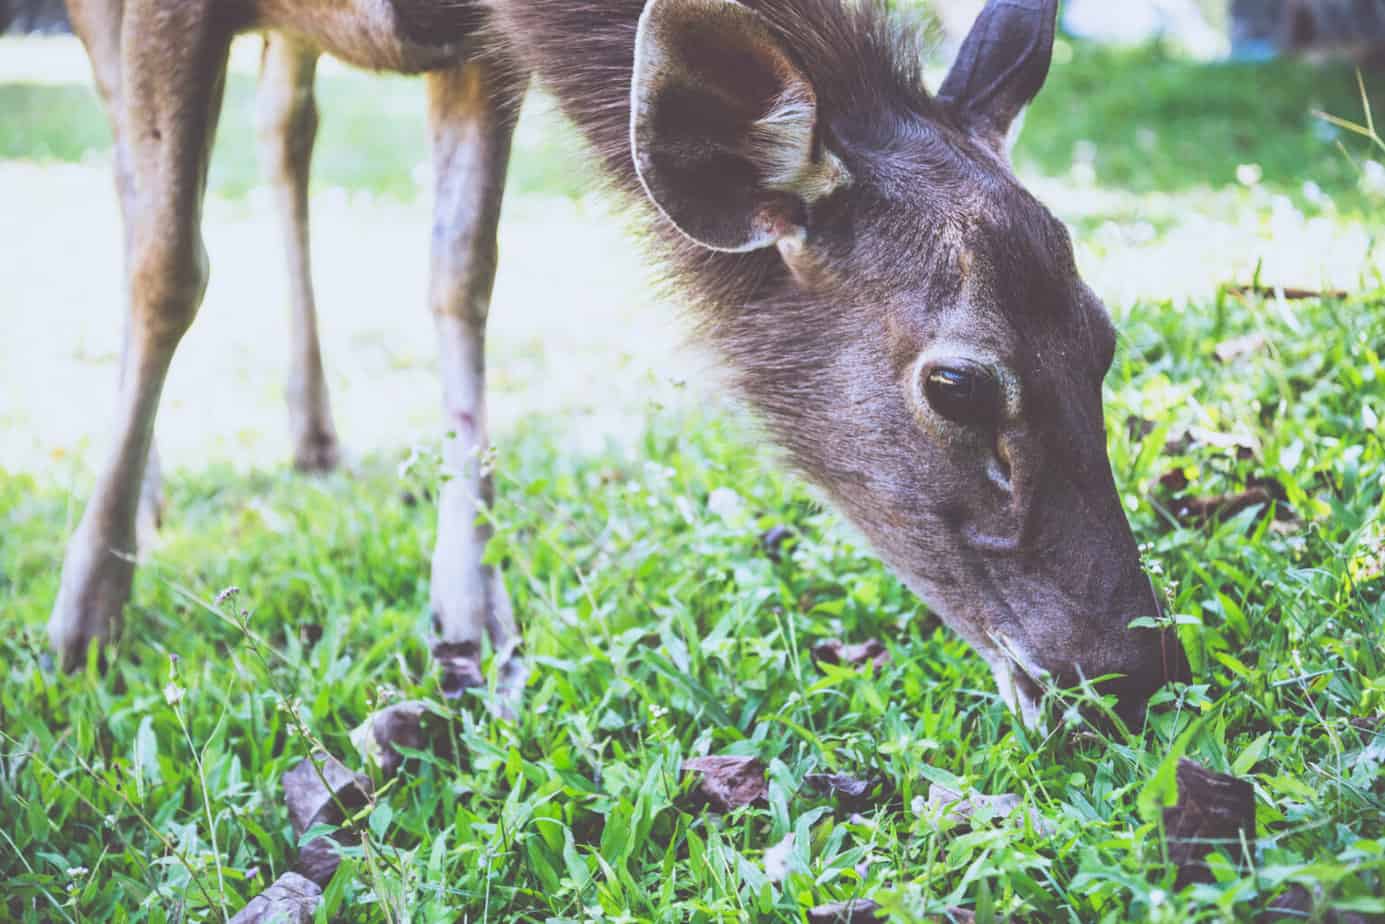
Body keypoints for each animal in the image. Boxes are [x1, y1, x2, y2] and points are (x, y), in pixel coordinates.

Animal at [51, 0, 1190, 729]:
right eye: (955, 383)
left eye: (1101, 339)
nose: (1136, 672)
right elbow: (168, 267)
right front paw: (84, 619)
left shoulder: (476, 44)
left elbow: (462, 270)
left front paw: (474, 621)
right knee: (134, 175)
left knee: (284, 127)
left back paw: (312, 433)